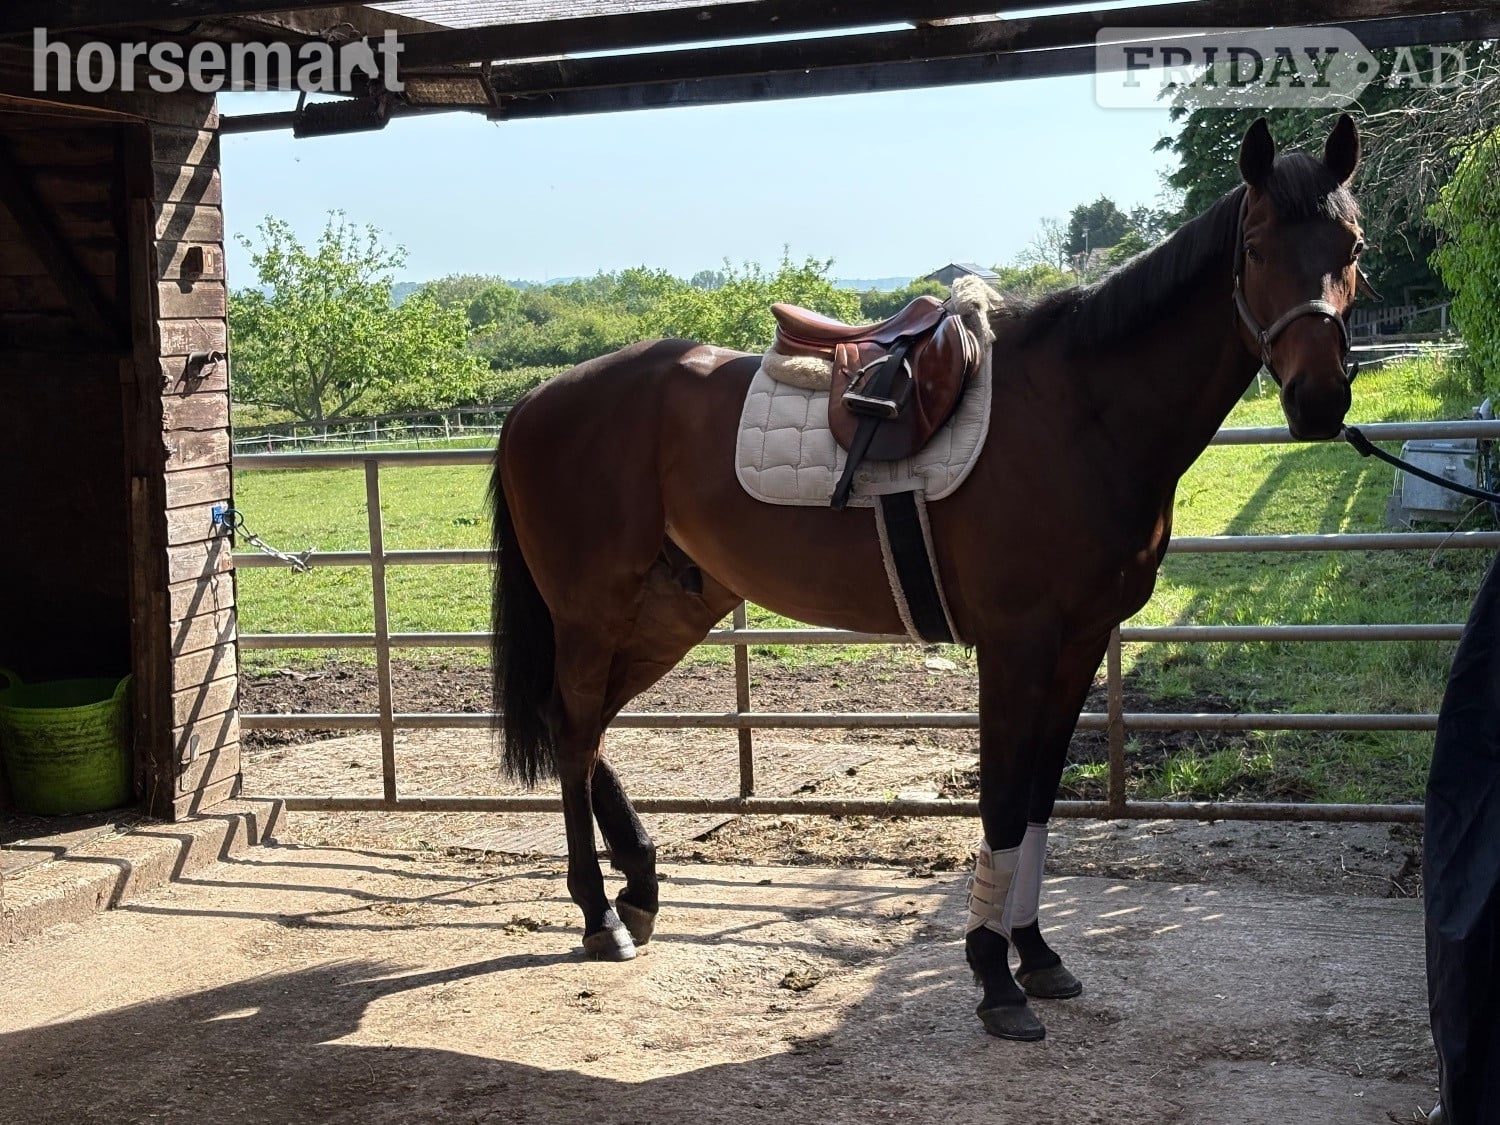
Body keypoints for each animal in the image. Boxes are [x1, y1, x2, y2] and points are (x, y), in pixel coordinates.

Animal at [488, 115, 1366, 1041]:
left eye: (1350, 247)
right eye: (1259, 247)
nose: (1318, 400)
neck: (1081, 409)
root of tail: (535, 401)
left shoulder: (1079, 643)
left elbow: (1041, 800)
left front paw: (1036, 954)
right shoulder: (1016, 645)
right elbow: (1003, 802)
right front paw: (993, 976)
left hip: (667, 609)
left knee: (582, 727)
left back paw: (642, 885)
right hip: (592, 611)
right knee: (574, 733)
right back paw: (600, 913)